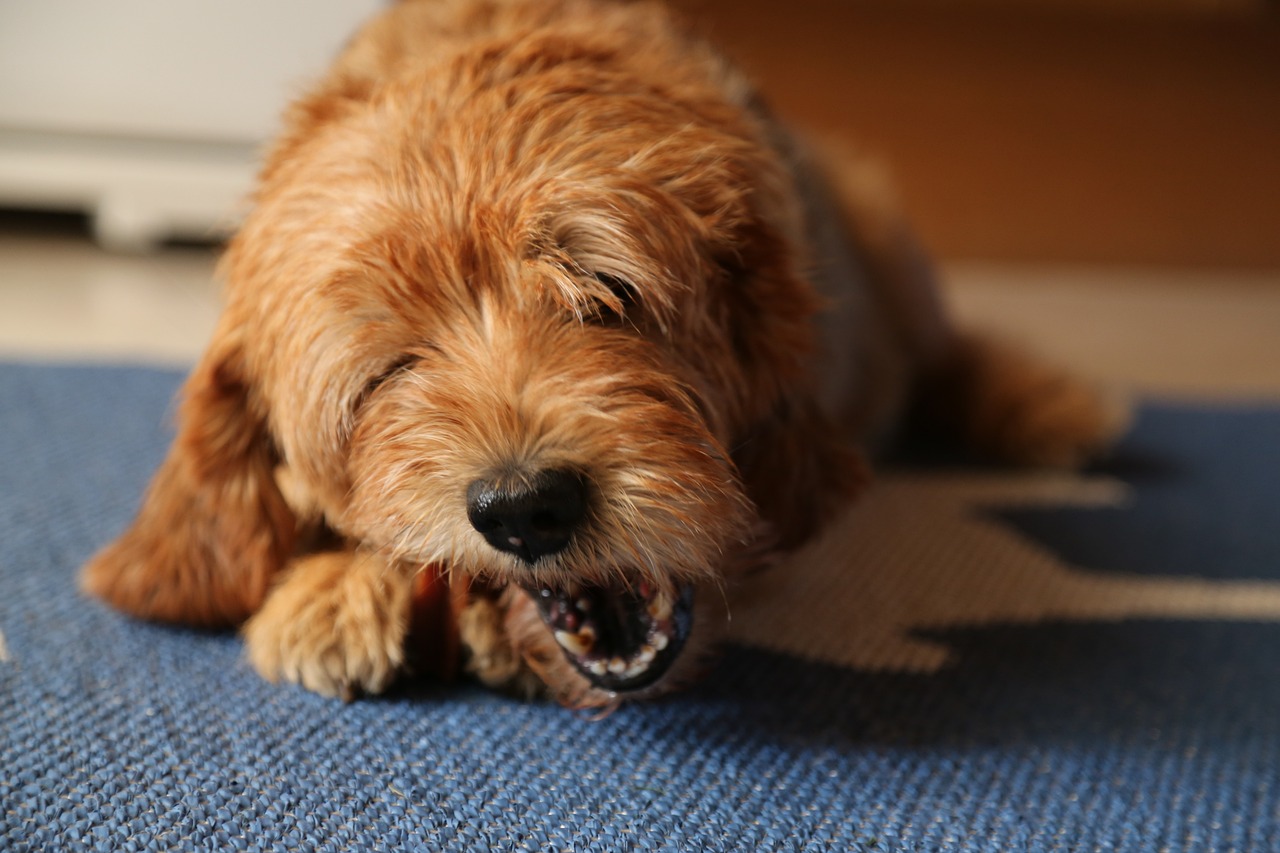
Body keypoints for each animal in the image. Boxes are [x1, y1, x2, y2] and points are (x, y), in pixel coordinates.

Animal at [80, 0, 1121, 701]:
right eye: (385, 371)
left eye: (606, 297)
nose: (524, 508)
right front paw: (346, 582)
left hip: (885, 235)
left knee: (946, 352)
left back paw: (1044, 404)